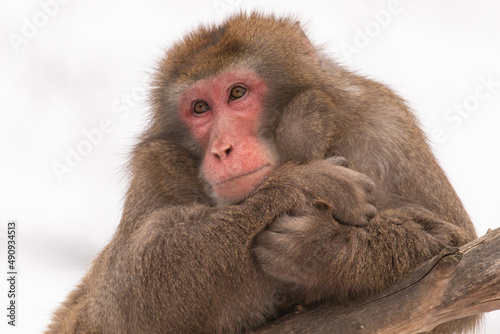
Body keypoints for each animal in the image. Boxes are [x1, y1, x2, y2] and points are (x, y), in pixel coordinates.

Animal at [47, 11, 480, 332]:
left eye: (237, 93)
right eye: (200, 108)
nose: (222, 149)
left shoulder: (383, 124)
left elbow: (450, 249)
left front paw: (320, 250)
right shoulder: (153, 169)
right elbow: (127, 298)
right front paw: (307, 182)